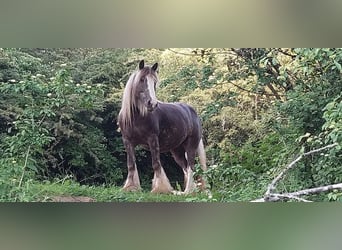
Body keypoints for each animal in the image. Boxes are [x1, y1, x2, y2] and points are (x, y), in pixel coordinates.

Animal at [117, 59, 207, 194]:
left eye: (154, 82)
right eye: (142, 79)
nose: (152, 104)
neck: (136, 117)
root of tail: (192, 112)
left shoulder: (152, 139)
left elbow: (156, 164)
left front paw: (160, 188)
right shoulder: (127, 141)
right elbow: (131, 164)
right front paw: (131, 187)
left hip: (191, 145)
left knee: (191, 166)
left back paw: (188, 191)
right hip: (177, 151)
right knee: (185, 167)